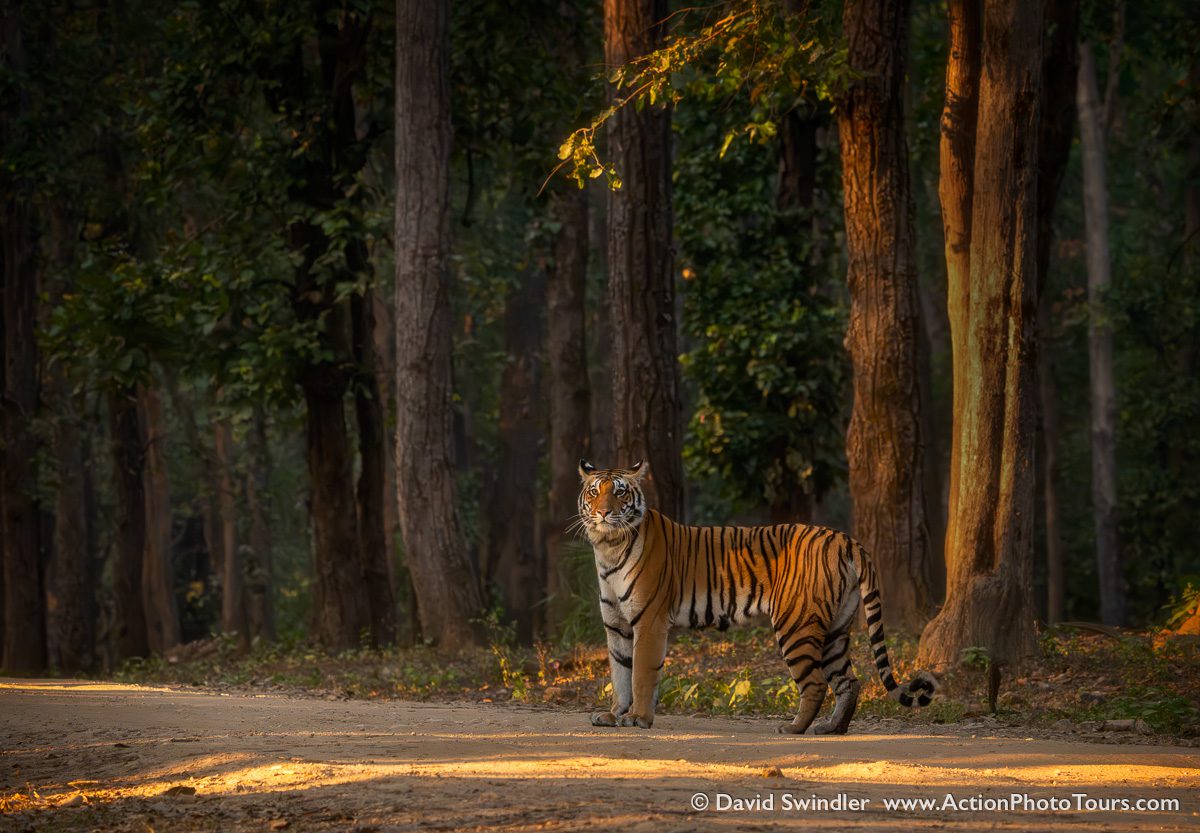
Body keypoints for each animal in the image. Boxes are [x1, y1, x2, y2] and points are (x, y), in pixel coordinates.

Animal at [576, 458, 937, 734]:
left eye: (620, 492)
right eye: (595, 492)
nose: (604, 513)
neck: (608, 547)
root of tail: (845, 538)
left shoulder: (649, 622)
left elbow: (640, 673)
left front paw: (638, 718)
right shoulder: (617, 625)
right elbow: (620, 672)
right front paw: (613, 714)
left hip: (796, 624)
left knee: (816, 682)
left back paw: (794, 728)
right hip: (836, 627)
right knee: (849, 681)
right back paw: (832, 728)